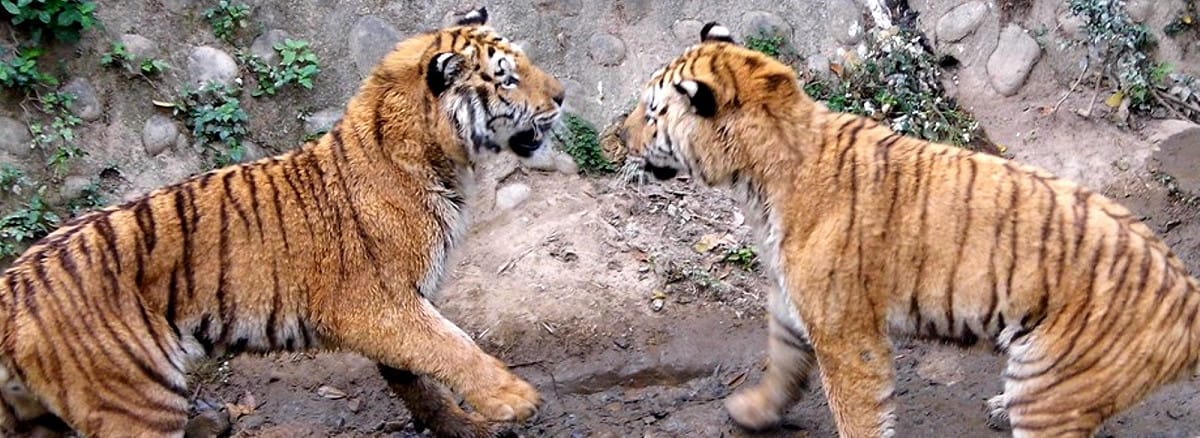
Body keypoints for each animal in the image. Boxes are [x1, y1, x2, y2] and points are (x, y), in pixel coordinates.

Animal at [0, 7, 564, 437]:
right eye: (507, 77)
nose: (560, 97)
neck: (438, 158)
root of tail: (15, 285)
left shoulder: (402, 307)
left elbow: (419, 383)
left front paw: (465, 427)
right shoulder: (381, 304)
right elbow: (451, 346)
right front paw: (512, 397)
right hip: (135, 403)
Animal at [621, 22, 1200, 437]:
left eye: (651, 114)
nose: (618, 136)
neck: (756, 179)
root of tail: (1185, 296)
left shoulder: (845, 333)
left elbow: (856, 410)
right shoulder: (793, 301)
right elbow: (782, 361)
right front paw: (753, 410)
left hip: (1052, 389)